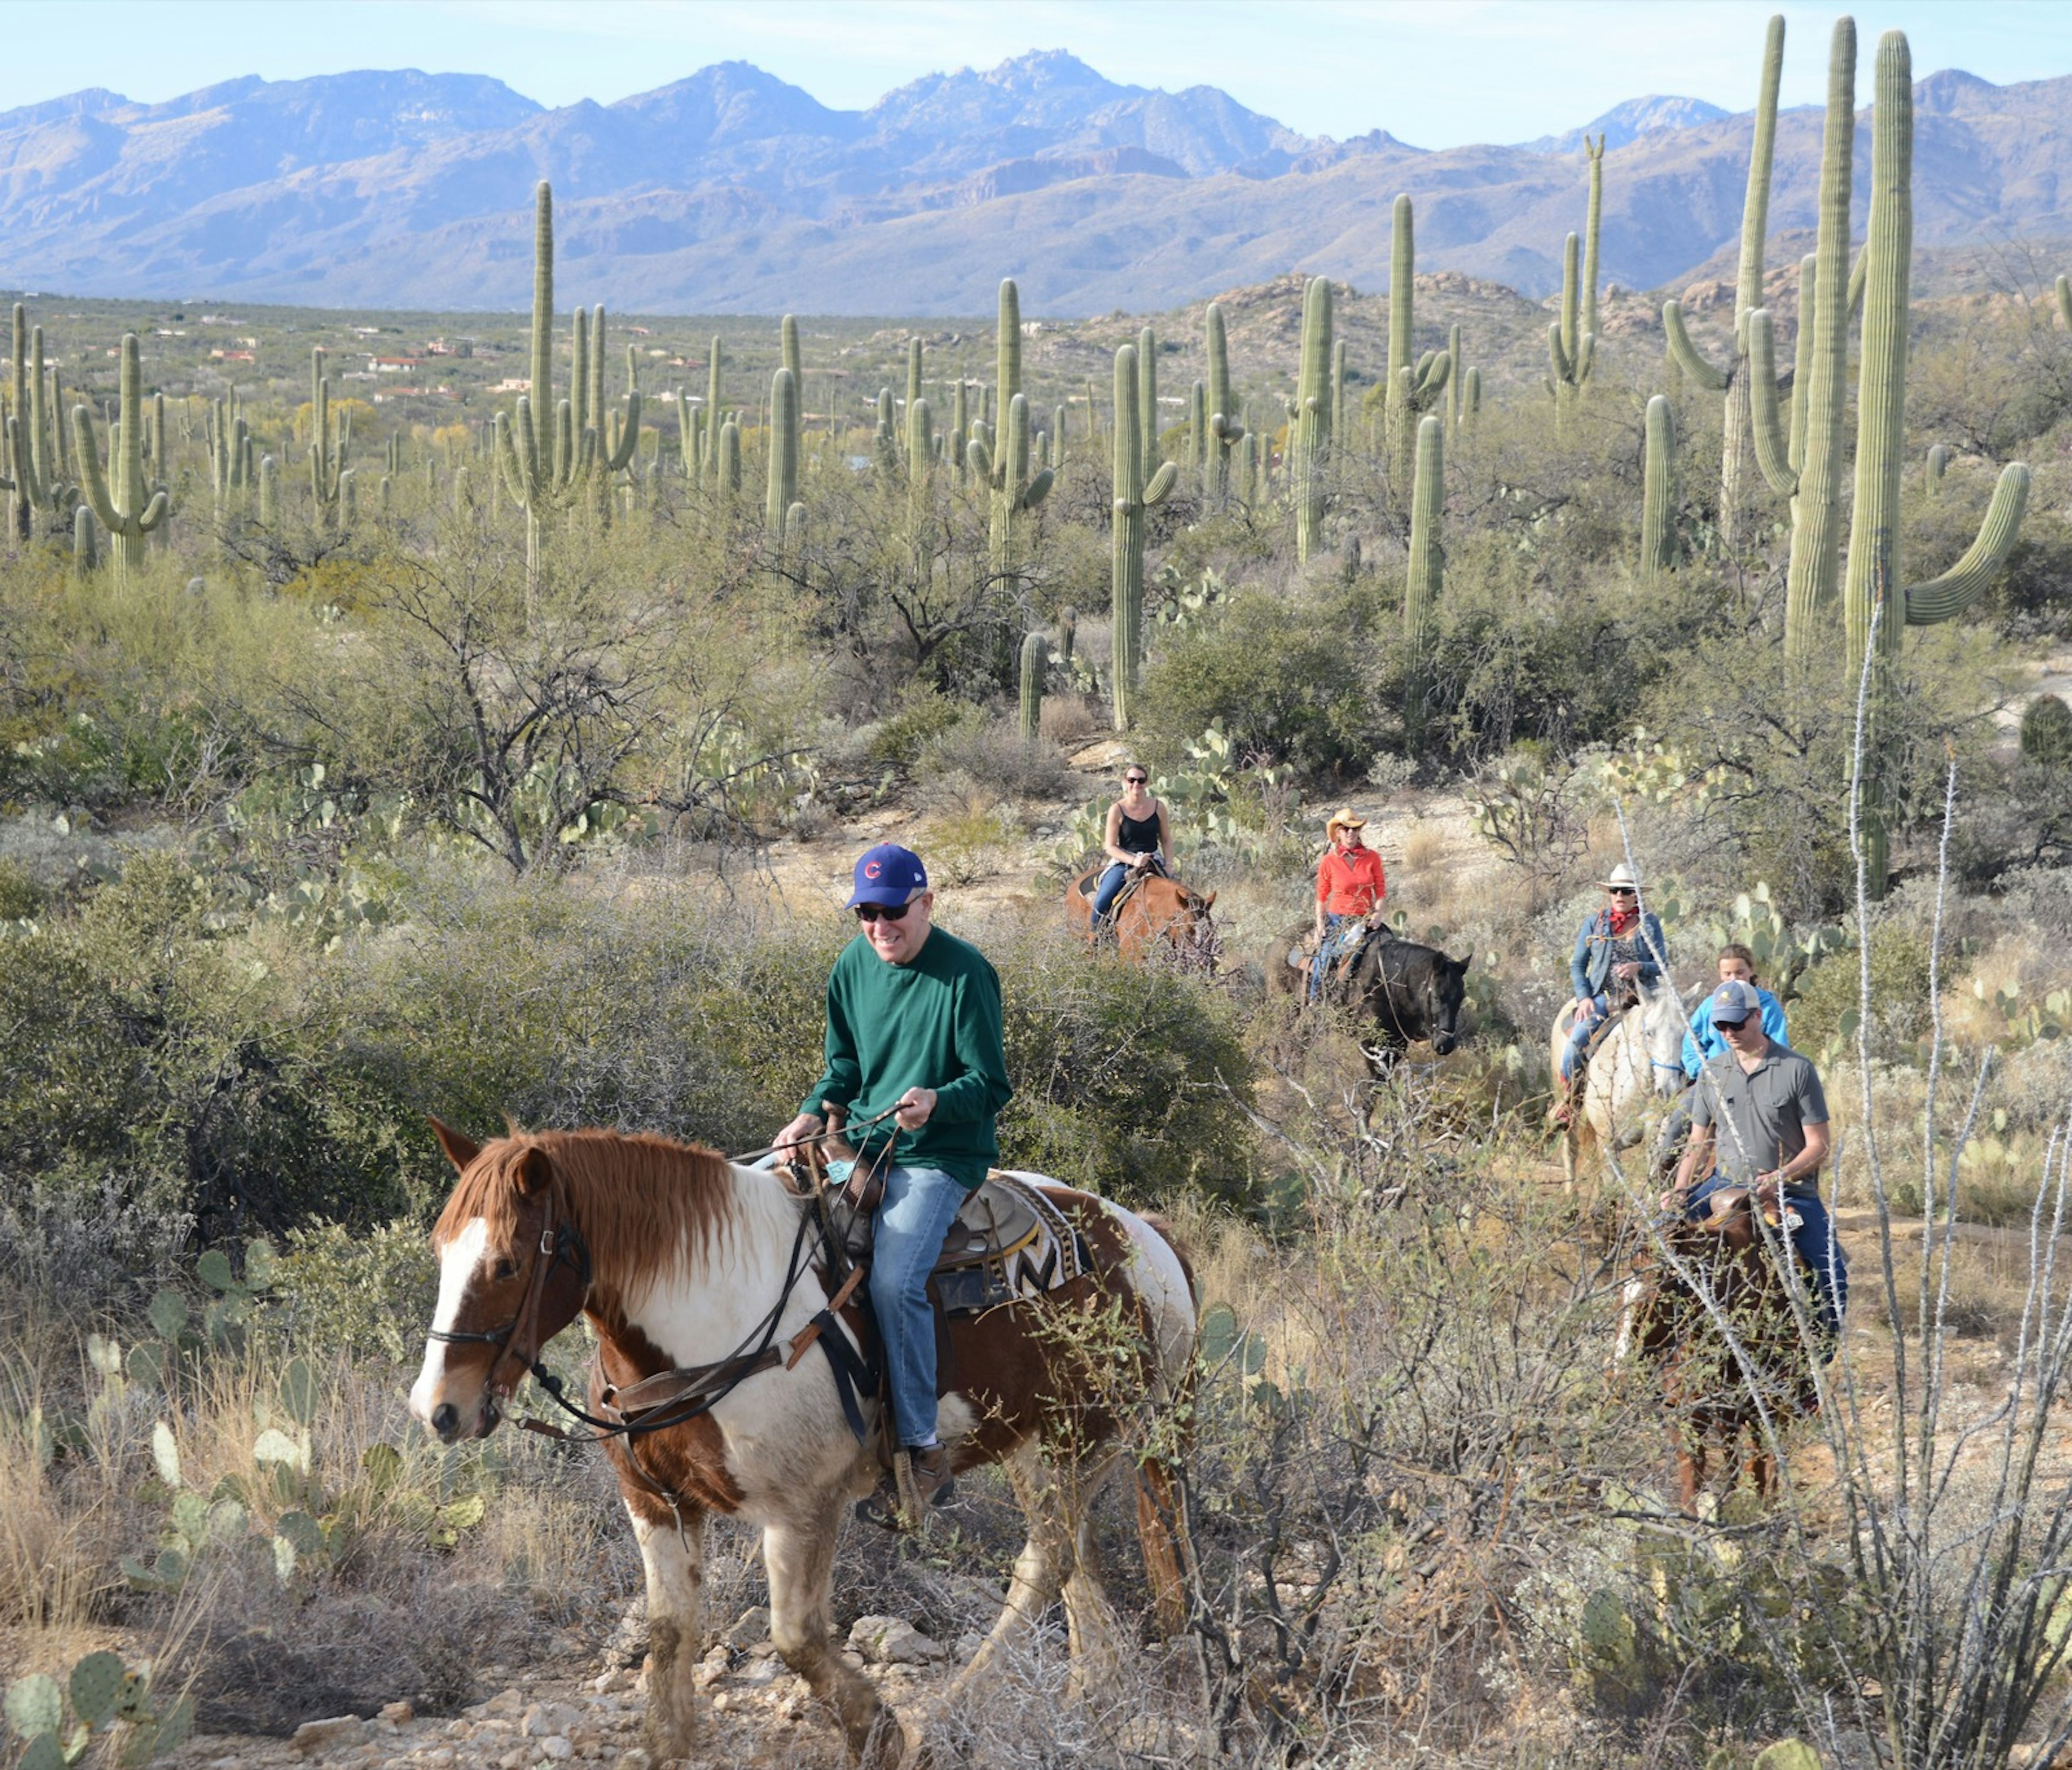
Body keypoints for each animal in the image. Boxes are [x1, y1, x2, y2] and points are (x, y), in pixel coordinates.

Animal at [406, 1127, 1202, 1766]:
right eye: (440, 1251)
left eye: (508, 1263)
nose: (438, 1407)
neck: (709, 1316)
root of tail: (1145, 1236)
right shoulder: (656, 1502)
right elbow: (668, 1627)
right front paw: (667, 1741)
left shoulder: (803, 1507)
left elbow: (795, 1636)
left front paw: (881, 1733)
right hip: (1039, 1446)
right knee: (1074, 1558)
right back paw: (1092, 1691)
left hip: (1088, 1435)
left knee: (1047, 1562)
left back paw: (956, 1713)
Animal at [1550, 982, 1691, 1193]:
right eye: (1649, 1032)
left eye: (1684, 1033)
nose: (1668, 1089)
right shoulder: (1607, 1142)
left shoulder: (1653, 1137)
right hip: (1571, 1109)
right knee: (1571, 1148)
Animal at [1607, 1193, 1823, 1508]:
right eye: (1617, 1291)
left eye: (1658, 1294)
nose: (1617, 1375)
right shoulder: (1693, 1411)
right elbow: (1694, 1473)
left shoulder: (1771, 1405)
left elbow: (1767, 1462)